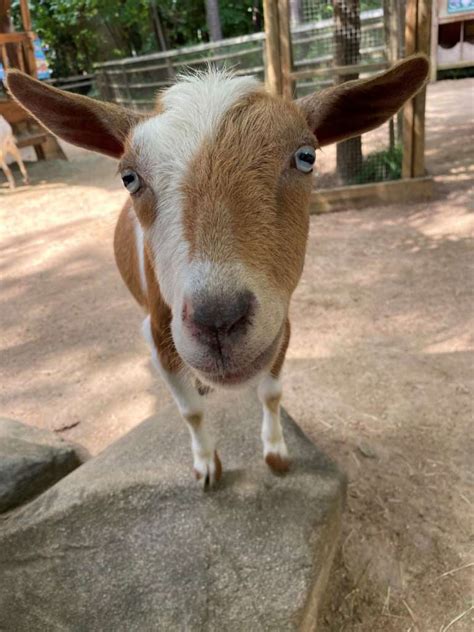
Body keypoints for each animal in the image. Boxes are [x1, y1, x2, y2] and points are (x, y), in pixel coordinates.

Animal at [4, 56, 430, 486]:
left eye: (306, 156)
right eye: (129, 177)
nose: (218, 321)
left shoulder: (281, 325)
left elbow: (271, 393)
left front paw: (276, 454)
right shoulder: (158, 335)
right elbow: (190, 410)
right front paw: (207, 465)